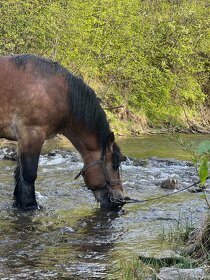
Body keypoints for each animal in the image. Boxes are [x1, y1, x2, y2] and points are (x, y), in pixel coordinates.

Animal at [0, 54, 126, 210]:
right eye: (114, 165)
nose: (120, 200)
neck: (58, 91)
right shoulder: (32, 134)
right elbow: (29, 175)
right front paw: (29, 205)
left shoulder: (23, 139)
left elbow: (19, 174)